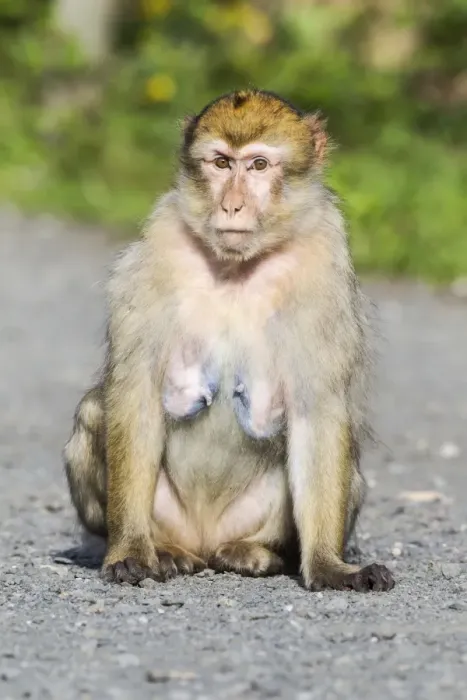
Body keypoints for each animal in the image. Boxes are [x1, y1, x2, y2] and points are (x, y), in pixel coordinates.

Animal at [63, 89, 394, 592]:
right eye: (221, 163)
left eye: (258, 165)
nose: (233, 206)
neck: (237, 266)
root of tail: (204, 538)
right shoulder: (157, 248)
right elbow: (135, 393)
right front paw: (131, 551)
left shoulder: (324, 262)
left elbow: (317, 410)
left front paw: (328, 565)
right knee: (93, 412)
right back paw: (166, 549)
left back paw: (259, 551)